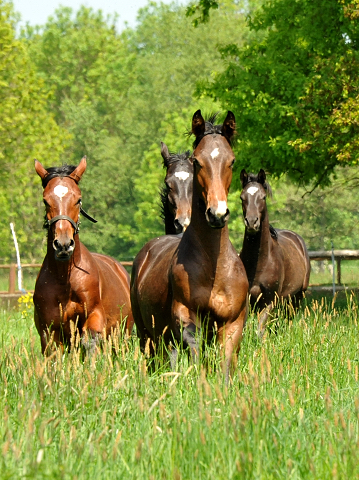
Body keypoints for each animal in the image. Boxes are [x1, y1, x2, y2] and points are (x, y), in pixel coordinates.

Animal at [33, 157, 134, 352]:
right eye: (45, 201)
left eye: (78, 200)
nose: (63, 244)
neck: (65, 279)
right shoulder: (49, 330)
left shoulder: (94, 314)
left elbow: (91, 341)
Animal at [132, 110, 250, 380]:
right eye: (198, 161)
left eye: (232, 161)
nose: (217, 214)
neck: (214, 268)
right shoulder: (185, 314)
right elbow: (194, 349)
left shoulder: (232, 322)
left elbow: (225, 363)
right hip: (147, 334)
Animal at [240, 169, 310, 334]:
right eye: (242, 197)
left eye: (263, 197)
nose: (251, 222)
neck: (260, 262)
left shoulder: (269, 301)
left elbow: (260, 329)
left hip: (297, 297)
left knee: (288, 319)